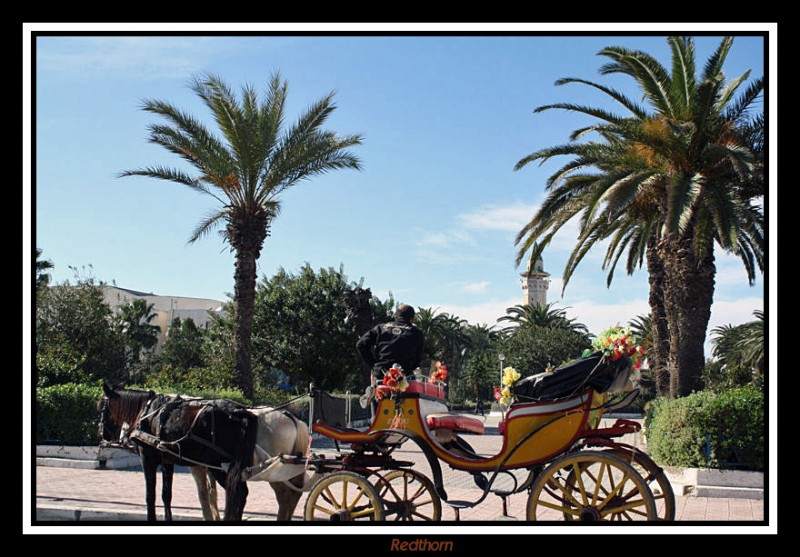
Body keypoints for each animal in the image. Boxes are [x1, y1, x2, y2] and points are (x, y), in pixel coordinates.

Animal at [98, 384, 258, 520]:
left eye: (101, 407)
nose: (102, 434)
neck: (145, 412)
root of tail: (239, 412)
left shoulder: (146, 459)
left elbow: (150, 495)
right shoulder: (167, 461)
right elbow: (166, 495)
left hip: (215, 462)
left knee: (238, 492)